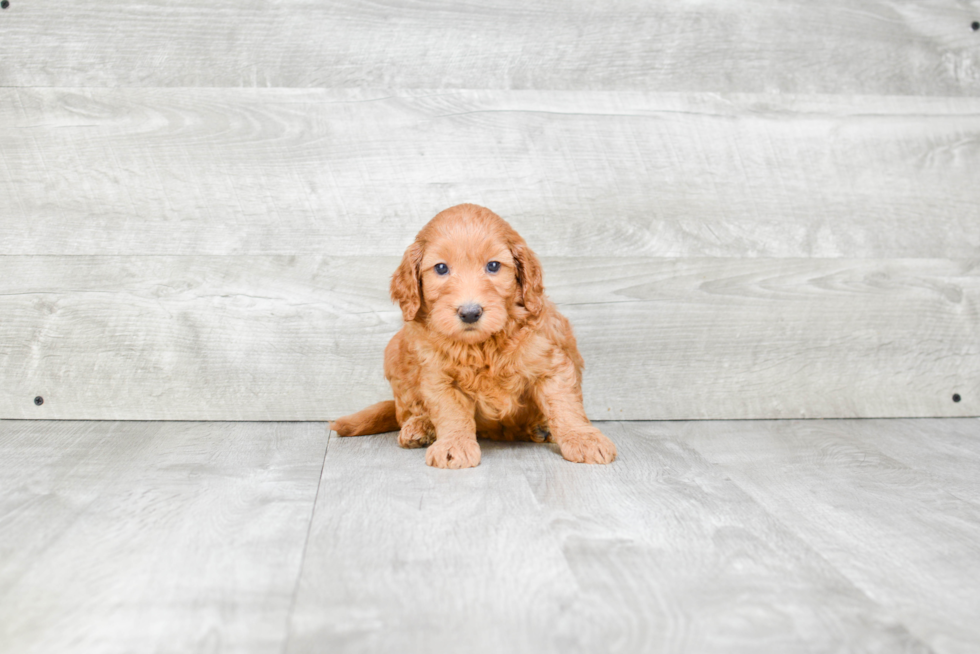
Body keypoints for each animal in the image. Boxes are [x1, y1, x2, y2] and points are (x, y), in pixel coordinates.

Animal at [334, 202, 616, 468]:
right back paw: (420, 427)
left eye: (493, 266)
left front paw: (583, 438)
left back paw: (541, 427)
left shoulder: (550, 362)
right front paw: (454, 445)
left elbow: (565, 405)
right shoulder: (439, 377)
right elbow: (451, 413)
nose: (470, 313)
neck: (482, 345)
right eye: (441, 268)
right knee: (405, 411)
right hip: (394, 351)